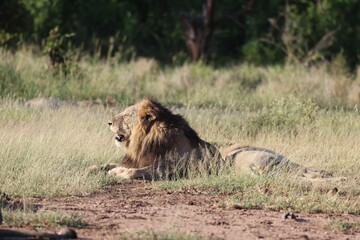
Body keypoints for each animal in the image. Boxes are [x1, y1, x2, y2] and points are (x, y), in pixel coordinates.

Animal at [90, 98, 344, 183]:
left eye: (125, 115)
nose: (108, 122)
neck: (146, 141)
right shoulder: (138, 158)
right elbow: (112, 163)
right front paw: (95, 168)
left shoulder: (177, 170)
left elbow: (139, 171)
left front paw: (119, 173)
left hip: (245, 160)